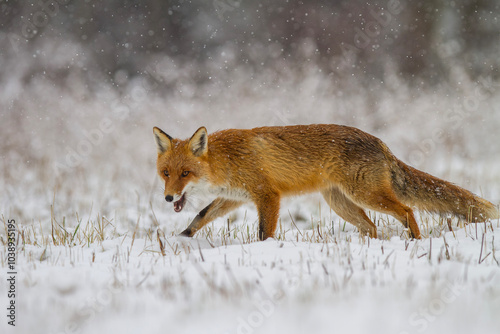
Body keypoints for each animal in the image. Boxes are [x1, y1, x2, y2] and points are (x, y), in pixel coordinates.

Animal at [152, 124, 496, 239]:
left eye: (185, 174)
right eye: (166, 173)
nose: (168, 198)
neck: (224, 161)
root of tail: (381, 144)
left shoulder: (268, 195)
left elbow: (264, 233)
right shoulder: (234, 197)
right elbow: (200, 216)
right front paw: (182, 239)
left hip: (365, 195)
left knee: (407, 210)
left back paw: (415, 242)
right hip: (341, 203)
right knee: (371, 227)